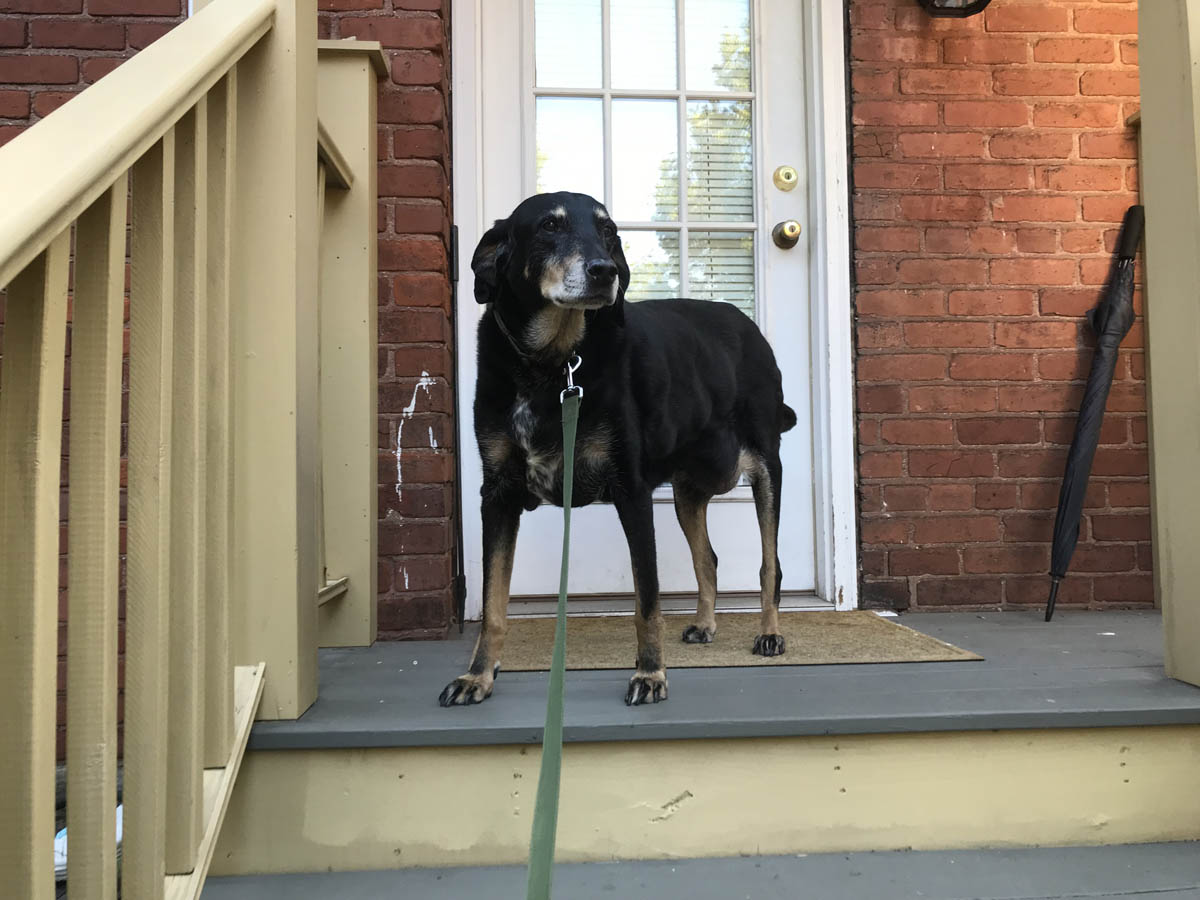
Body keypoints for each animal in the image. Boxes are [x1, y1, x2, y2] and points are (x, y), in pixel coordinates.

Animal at [441, 194, 796, 710]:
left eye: (609, 232)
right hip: (688, 493)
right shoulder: (499, 495)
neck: (553, 365)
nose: (604, 271)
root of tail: (747, 324)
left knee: (770, 563)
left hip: (767, 466)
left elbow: (647, 601)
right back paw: (705, 623)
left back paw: (769, 632)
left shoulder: (632, 492)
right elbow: (492, 603)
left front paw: (650, 674)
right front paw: (478, 676)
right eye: (549, 226)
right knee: (706, 558)